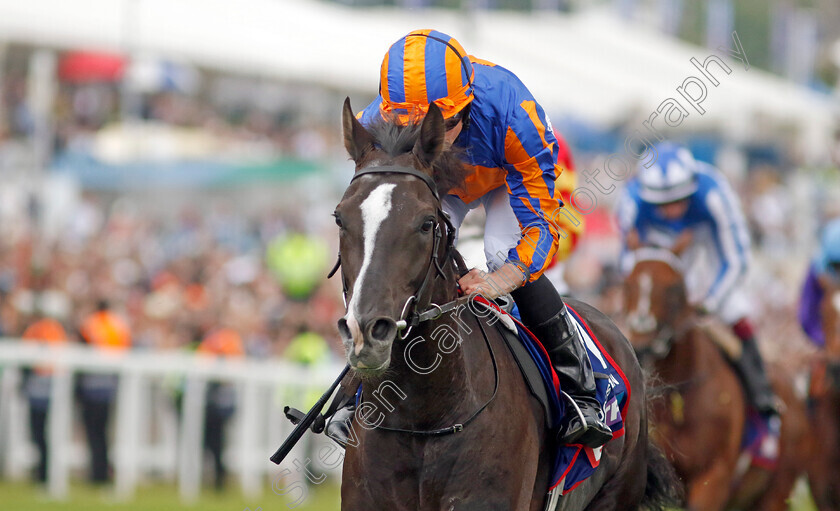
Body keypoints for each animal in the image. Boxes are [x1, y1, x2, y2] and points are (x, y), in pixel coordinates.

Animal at [620, 249, 812, 511]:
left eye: (674, 288)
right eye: (628, 283)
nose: (642, 346)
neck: (679, 397)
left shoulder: (714, 476)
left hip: (776, 490)